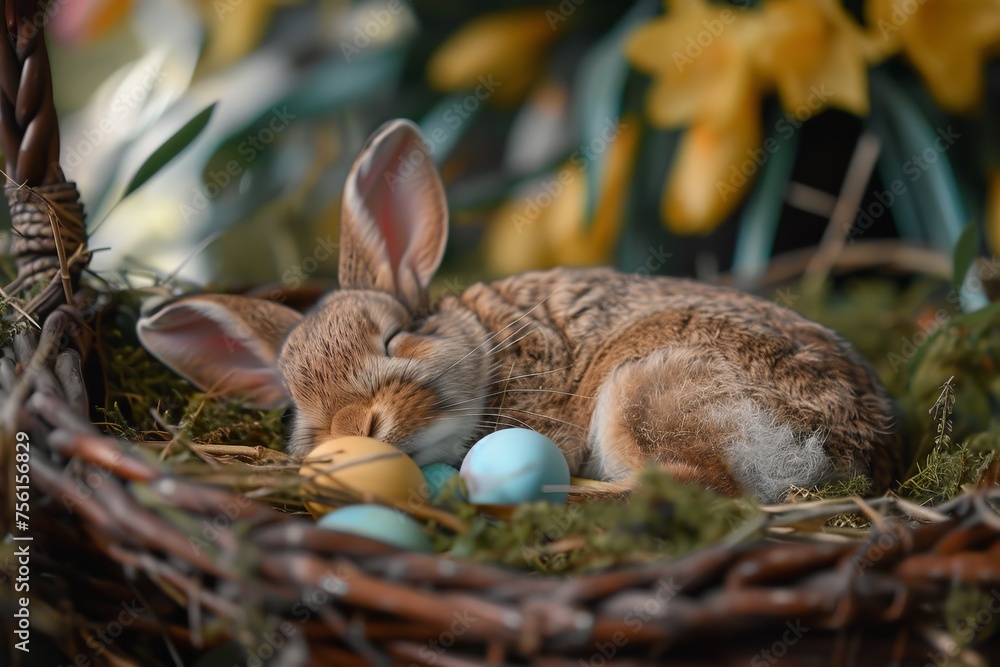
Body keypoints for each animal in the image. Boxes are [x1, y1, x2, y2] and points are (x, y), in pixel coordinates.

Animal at [139, 117, 908, 500]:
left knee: (697, 488)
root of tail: (855, 450)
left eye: (396, 338)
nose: (359, 429)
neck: (488, 346)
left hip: (644, 394)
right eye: (297, 405)